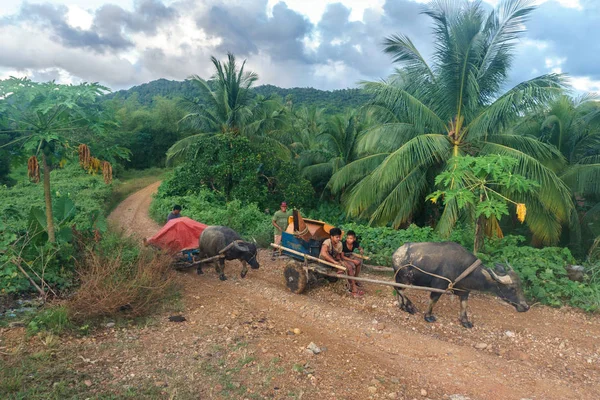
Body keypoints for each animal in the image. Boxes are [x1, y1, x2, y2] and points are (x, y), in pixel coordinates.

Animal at [392, 241, 528, 328]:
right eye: (512, 288)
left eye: (521, 285)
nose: (525, 306)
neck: (464, 269)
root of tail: (396, 254)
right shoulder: (438, 287)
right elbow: (433, 301)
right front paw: (428, 316)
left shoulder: (464, 291)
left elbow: (464, 306)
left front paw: (465, 322)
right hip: (404, 277)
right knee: (399, 289)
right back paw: (410, 306)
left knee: (398, 289)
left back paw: (403, 306)